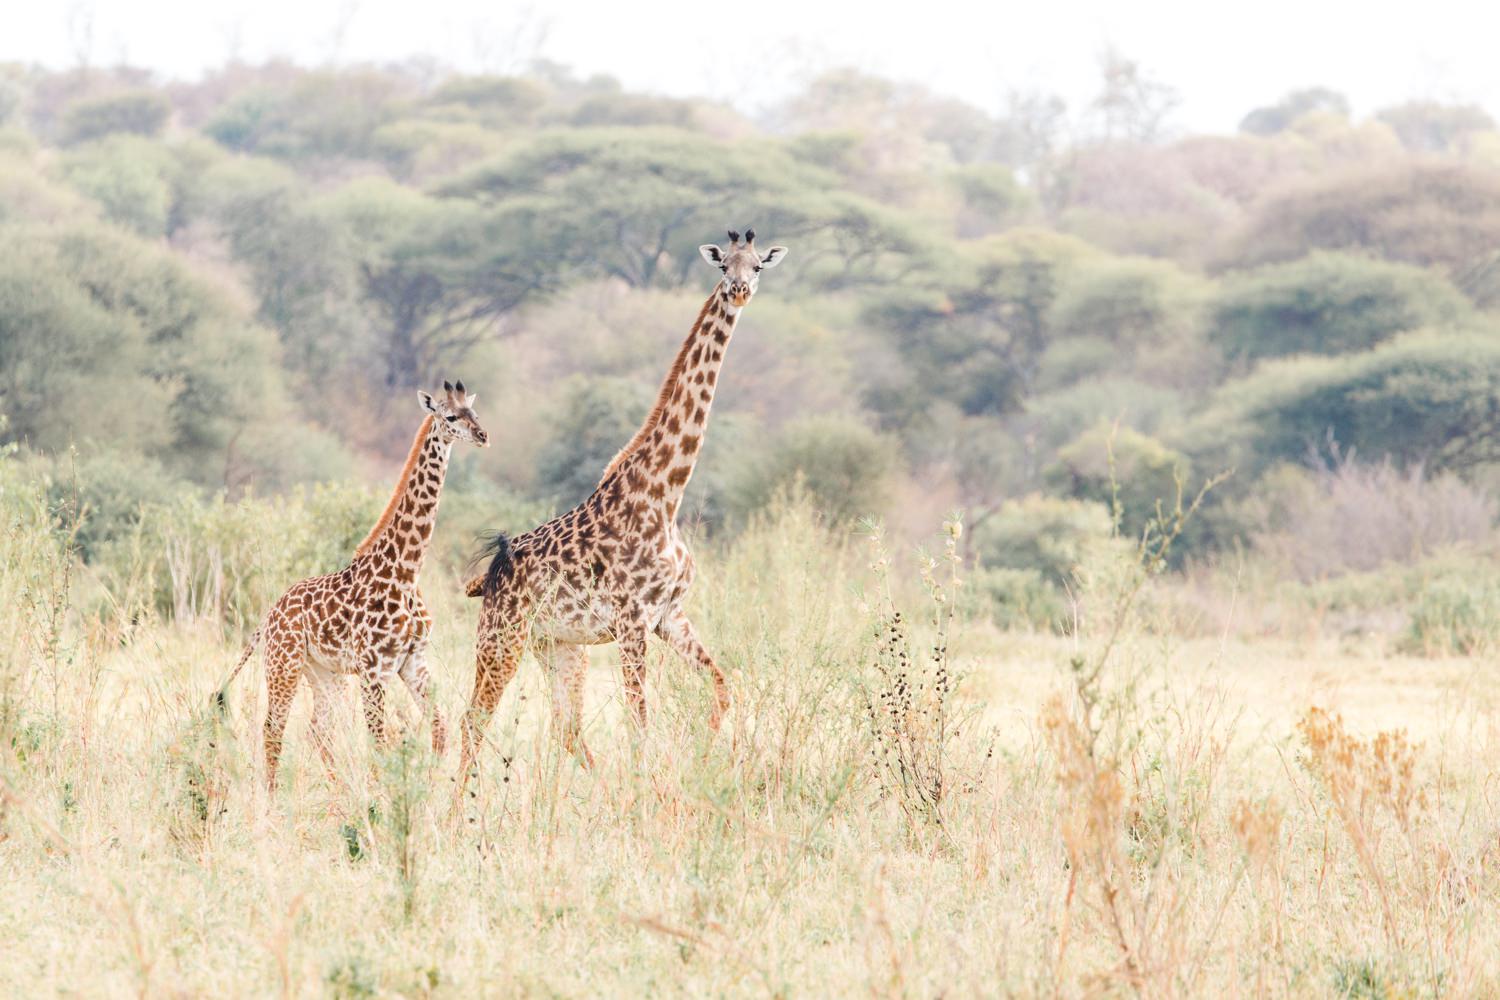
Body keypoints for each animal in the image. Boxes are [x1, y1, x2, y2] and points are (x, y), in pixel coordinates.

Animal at [219, 380, 489, 791]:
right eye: (450, 417)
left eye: (474, 412)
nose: (482, 435)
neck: (407, 571)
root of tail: (269, 616)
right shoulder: (374, 669)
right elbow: (381, 745)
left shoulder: (413, 661)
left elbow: (439, 728)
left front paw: (429, 792)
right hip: (284, 664)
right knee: (273, 727)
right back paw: (271, 797)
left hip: (322, 673)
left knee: (318, 729)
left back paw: (335, 793)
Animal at [453, 230, 786, 779]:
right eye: (724, 267)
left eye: (758, 266)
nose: (738, 291)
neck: (665, 495)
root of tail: (487, 575)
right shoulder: (632, 623)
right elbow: (640, 726)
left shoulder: (669, 614)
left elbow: (722, 687)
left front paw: (704, 762)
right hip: (502, 637)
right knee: (473, 720)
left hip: (558, 645)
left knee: (566, 729)